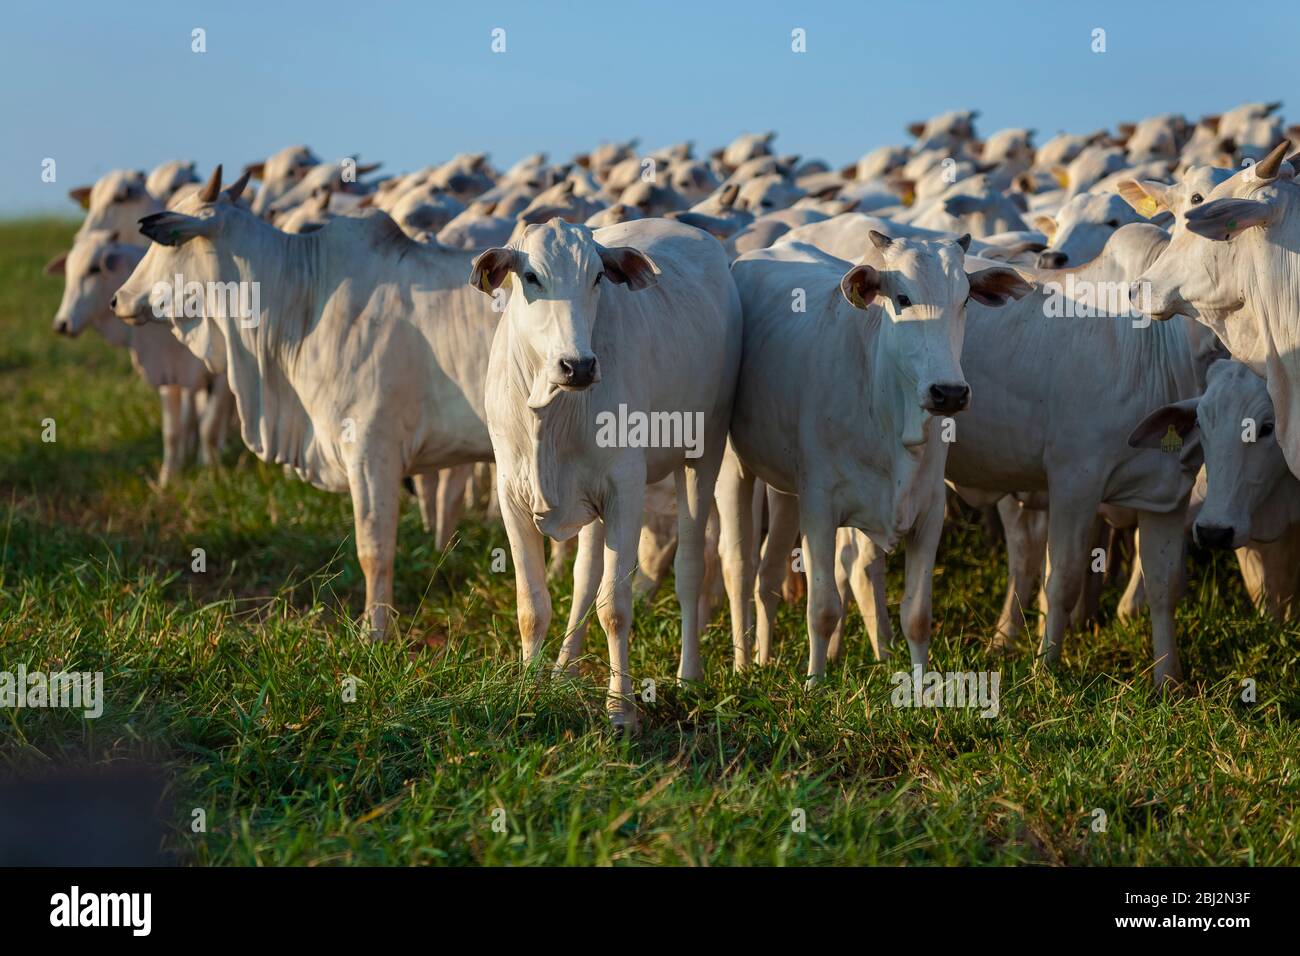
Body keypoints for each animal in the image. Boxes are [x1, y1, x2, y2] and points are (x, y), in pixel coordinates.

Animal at [475, 217, 743, 728]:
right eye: (531, 277)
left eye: (598, 276)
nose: (578, 365)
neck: (552, 412)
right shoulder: (511, 494)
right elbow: (533, 605)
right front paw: (529, 692)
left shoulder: (625, 489)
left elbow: (615, 607)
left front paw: (621, 709)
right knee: (584, 578)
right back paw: (564, 670)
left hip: (704, 453)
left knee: (690, 566)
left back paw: (689, 675)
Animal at [717, 231, 1029, 681]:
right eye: (902, 297)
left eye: (966, 300)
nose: (949, 392)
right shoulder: (820, 508)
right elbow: (823, 608)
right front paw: (814, 684)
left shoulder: (929, 513)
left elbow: (917, 615)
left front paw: (920, 685)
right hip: (733, 468)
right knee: (739, 567)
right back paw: (743, 664)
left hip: (787, 489)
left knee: (769, 573)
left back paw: (763, 657)